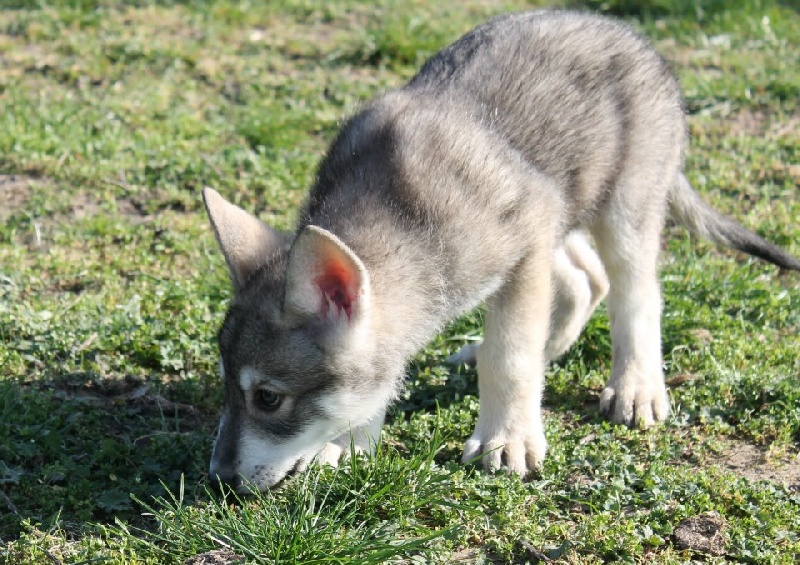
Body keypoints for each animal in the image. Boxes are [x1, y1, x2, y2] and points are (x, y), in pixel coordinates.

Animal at [202, 10, 800, 492]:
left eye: (268, 398)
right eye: (227, 387)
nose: (219, 480)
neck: (402, 213)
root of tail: (629, 34)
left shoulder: (524, 254)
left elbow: (508, 357)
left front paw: (507, 439)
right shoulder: (529, 241)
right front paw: (347, 445)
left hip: (623, 213)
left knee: (634, 294)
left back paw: (636, 388)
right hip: (560, 214)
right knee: (587, 280)